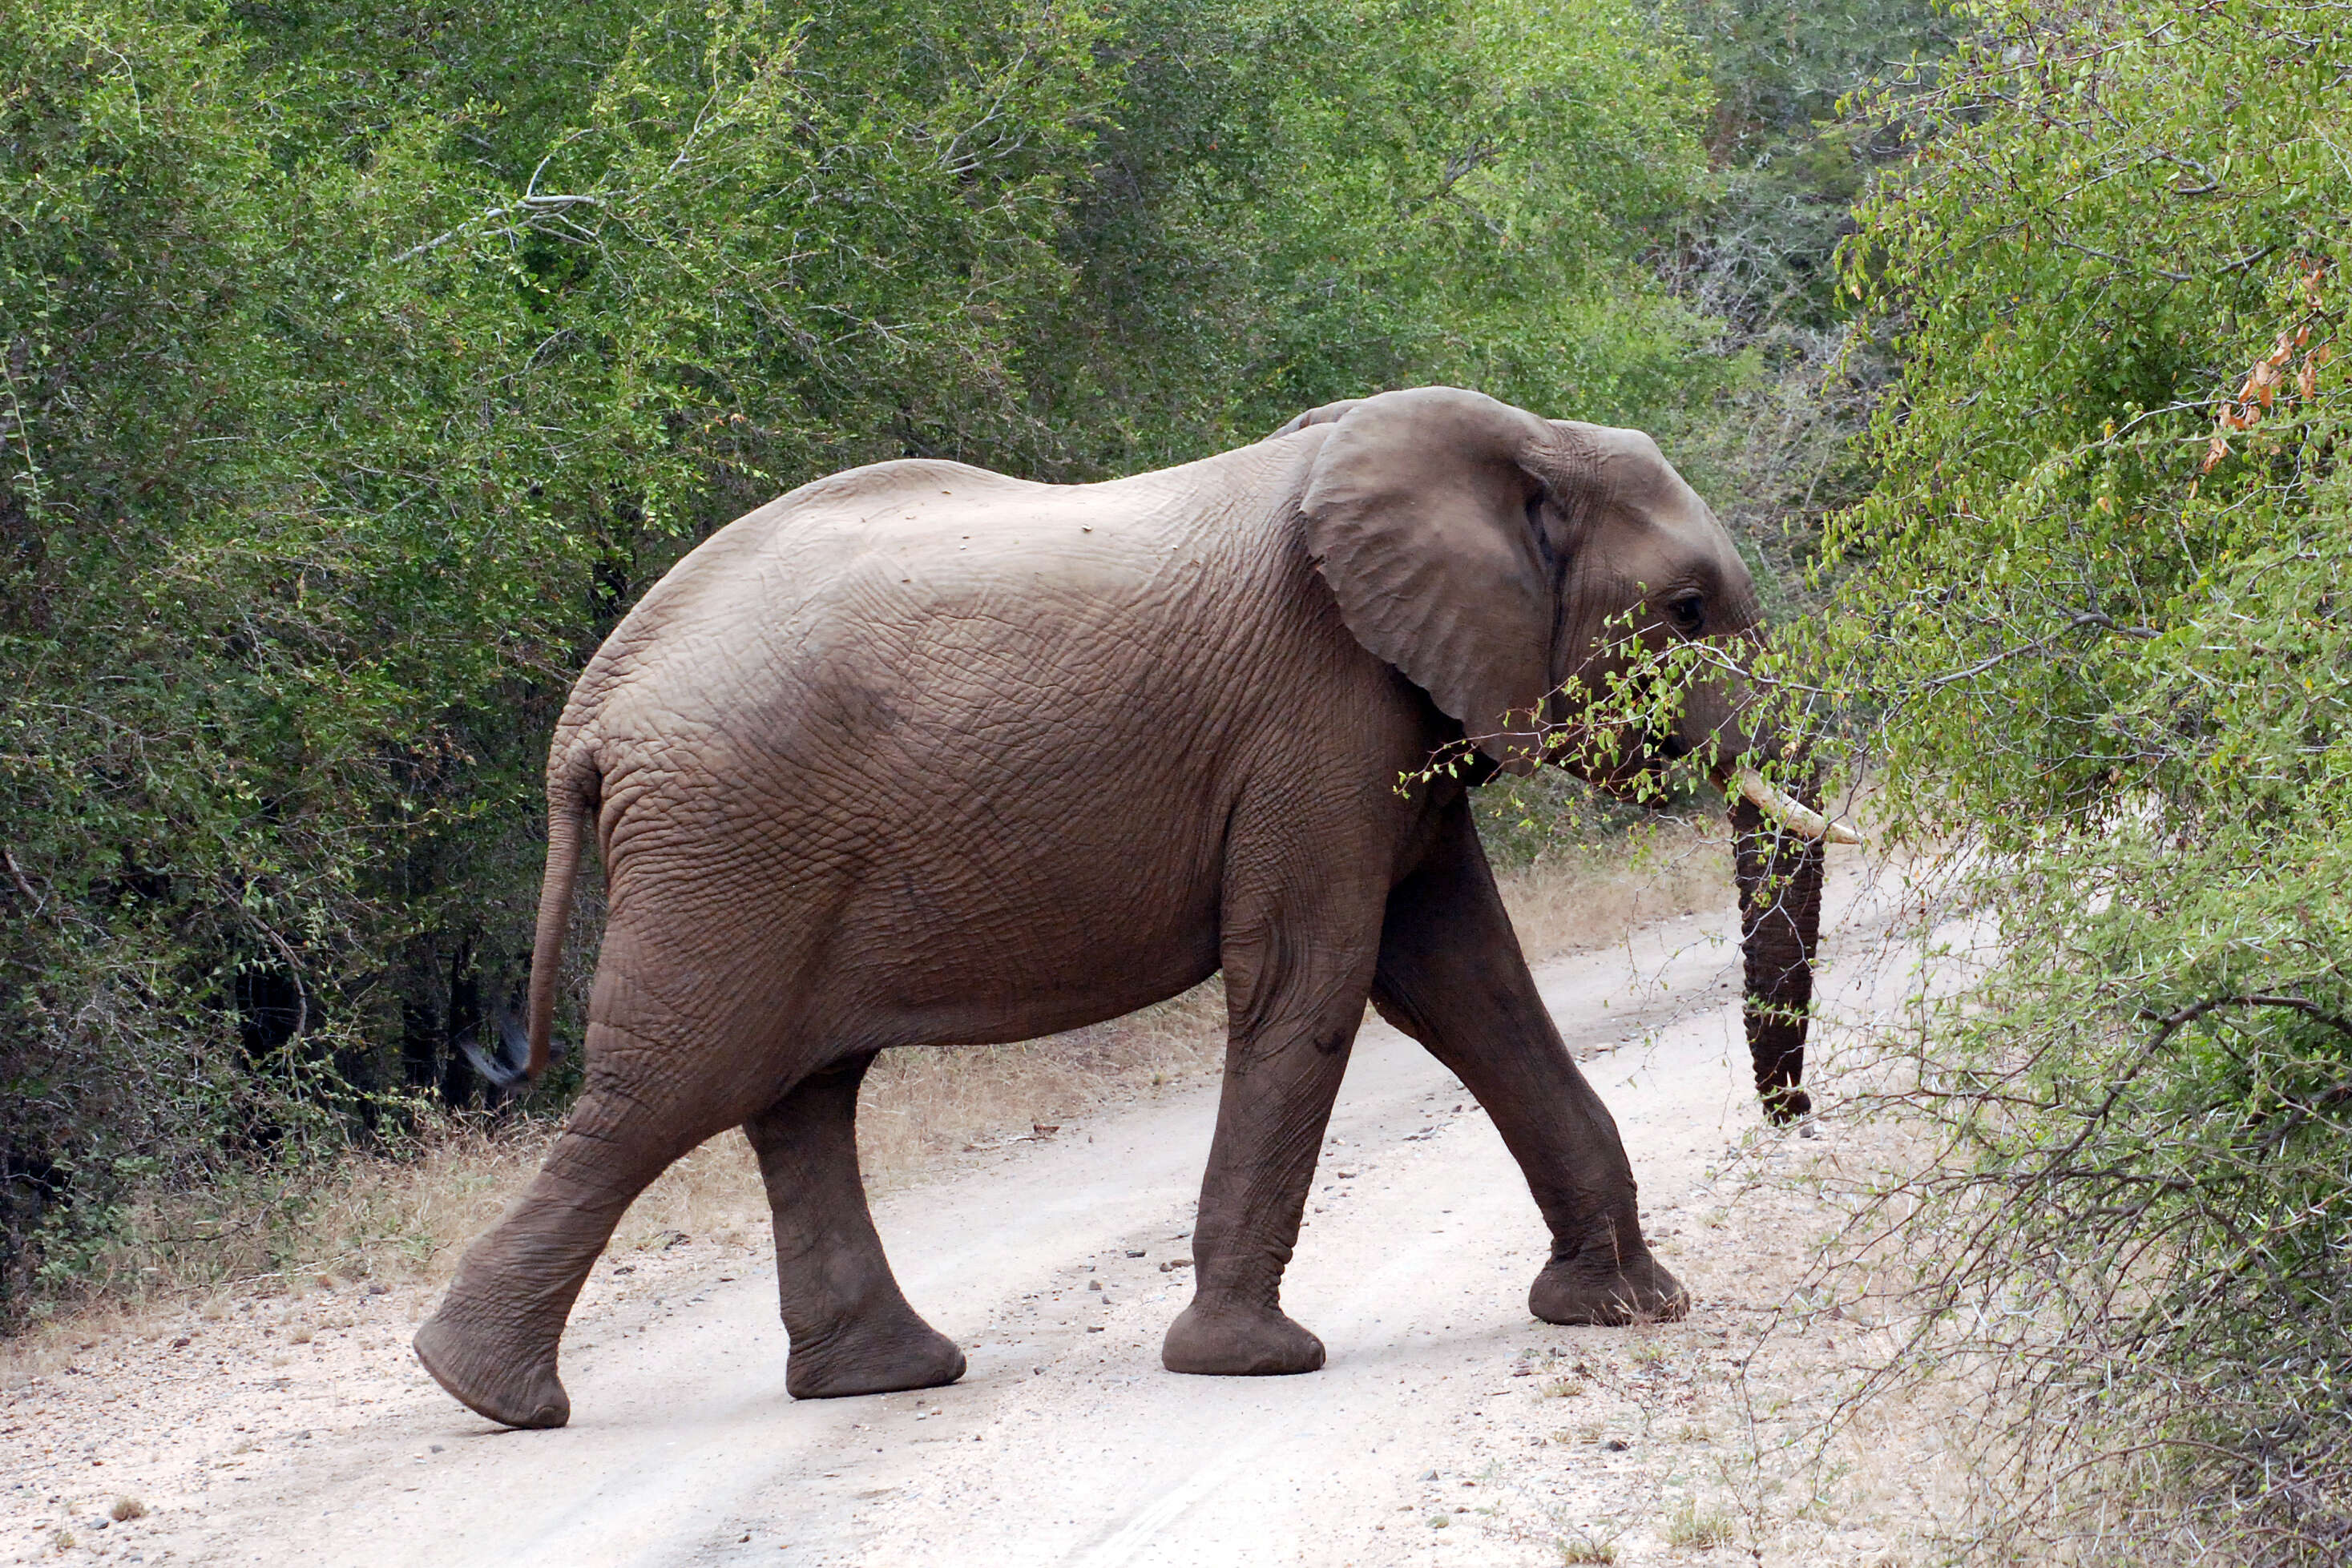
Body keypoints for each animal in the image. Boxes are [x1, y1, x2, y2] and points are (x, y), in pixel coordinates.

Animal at [414, 383, 1844, 1438]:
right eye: (1685, 611)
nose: (1793, 1120)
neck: (1512, 441)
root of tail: (595, 705)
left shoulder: (1402, 720)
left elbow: (1464, 982)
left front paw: (1630, 1307)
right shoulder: (1316, 709)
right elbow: (1317, 978)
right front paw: (1253, 1364)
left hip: (754, 851)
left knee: (797, 1092)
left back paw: (881, 1376)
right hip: (728, 844)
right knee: (669, 1089)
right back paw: (485, 1393)